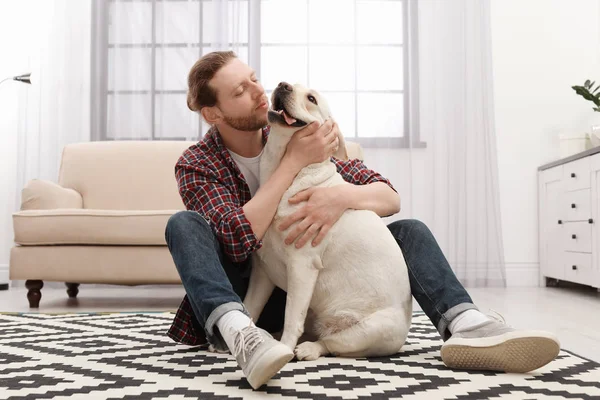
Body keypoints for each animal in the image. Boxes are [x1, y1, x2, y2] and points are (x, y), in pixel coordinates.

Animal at [244, 83, 412, 360]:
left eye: (311, 99)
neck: (287, 175)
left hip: (367, 331)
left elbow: (292, 316)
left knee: (330, 343)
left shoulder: (302, 266)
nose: (282, 85)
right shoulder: (262, 270)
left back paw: (306, 349)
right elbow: (249, 306)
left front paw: (284, 348)